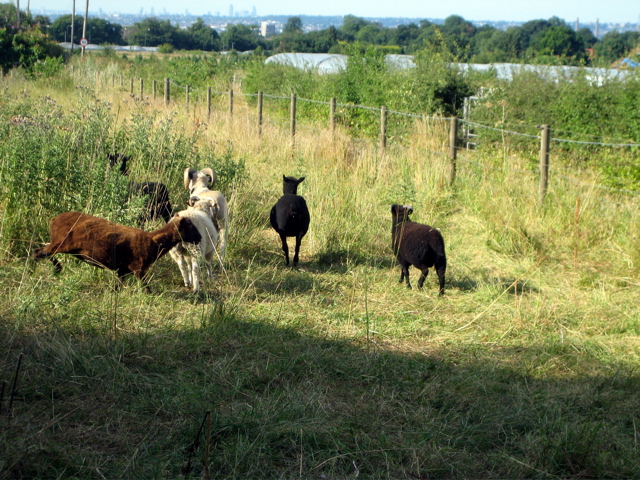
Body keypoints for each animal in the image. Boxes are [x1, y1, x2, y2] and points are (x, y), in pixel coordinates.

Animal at [33, 211, 201, 289]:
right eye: (190, 227)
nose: (199, 238)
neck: (154, 241)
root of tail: (54, 220)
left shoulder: (122, 271)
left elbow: (116, 287)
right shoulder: (138, 269)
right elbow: (146, 288)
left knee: (40, 251)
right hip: (61, 243)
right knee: (39, 252)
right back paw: (50, 268)